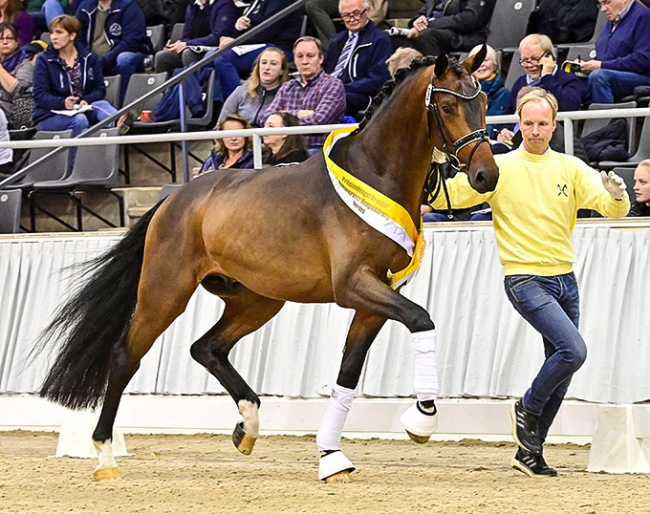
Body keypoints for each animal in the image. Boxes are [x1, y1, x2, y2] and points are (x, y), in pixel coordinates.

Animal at [36, 48, 496, 480]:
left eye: (484, 99)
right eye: (448, 106)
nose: (486, 176)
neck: (374, 176)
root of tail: (174, 198)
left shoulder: (376, 299)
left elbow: (348, 373)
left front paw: (331, 457)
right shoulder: (354, 286)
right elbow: (421, 320)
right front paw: (422, 419)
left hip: (257, 300)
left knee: (207, 348)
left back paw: (248, 427)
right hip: (165, 292)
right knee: (124, 355)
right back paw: (104, 454)